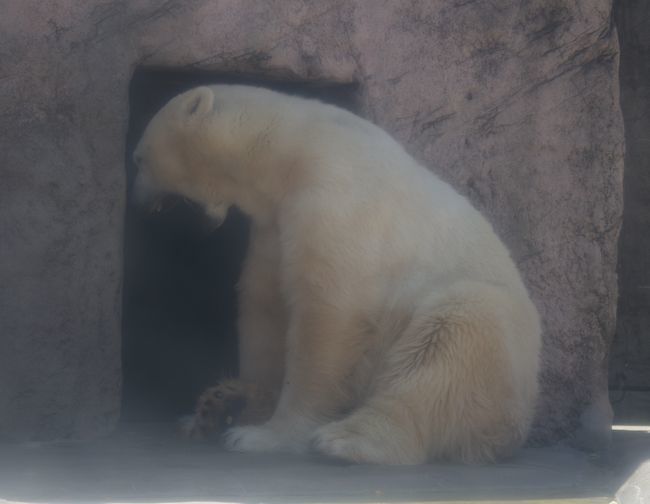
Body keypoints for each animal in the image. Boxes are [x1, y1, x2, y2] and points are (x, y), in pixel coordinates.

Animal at [132, 83, 536, 464]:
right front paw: (237, 404)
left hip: (489, 334)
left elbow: (327, 313)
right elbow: (264, 308)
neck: (291, 150)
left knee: (445, 345)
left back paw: (346, 440)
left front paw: (266, 435)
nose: (138, 202)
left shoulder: (335, 198)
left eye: (139, 158)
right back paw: (219, 403)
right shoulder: (273, 225)